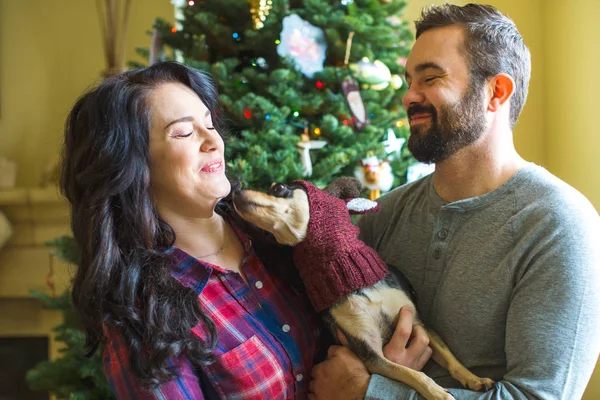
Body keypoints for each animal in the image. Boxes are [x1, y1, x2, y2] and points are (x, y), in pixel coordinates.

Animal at [232, 178, 494, 400]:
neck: (356, 285)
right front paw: (438, 393)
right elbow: (414, 374)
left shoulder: (420, 324)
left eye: (278, 188)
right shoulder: (372, 355)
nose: (235, 189)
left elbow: (449, 355)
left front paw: (474, 378)